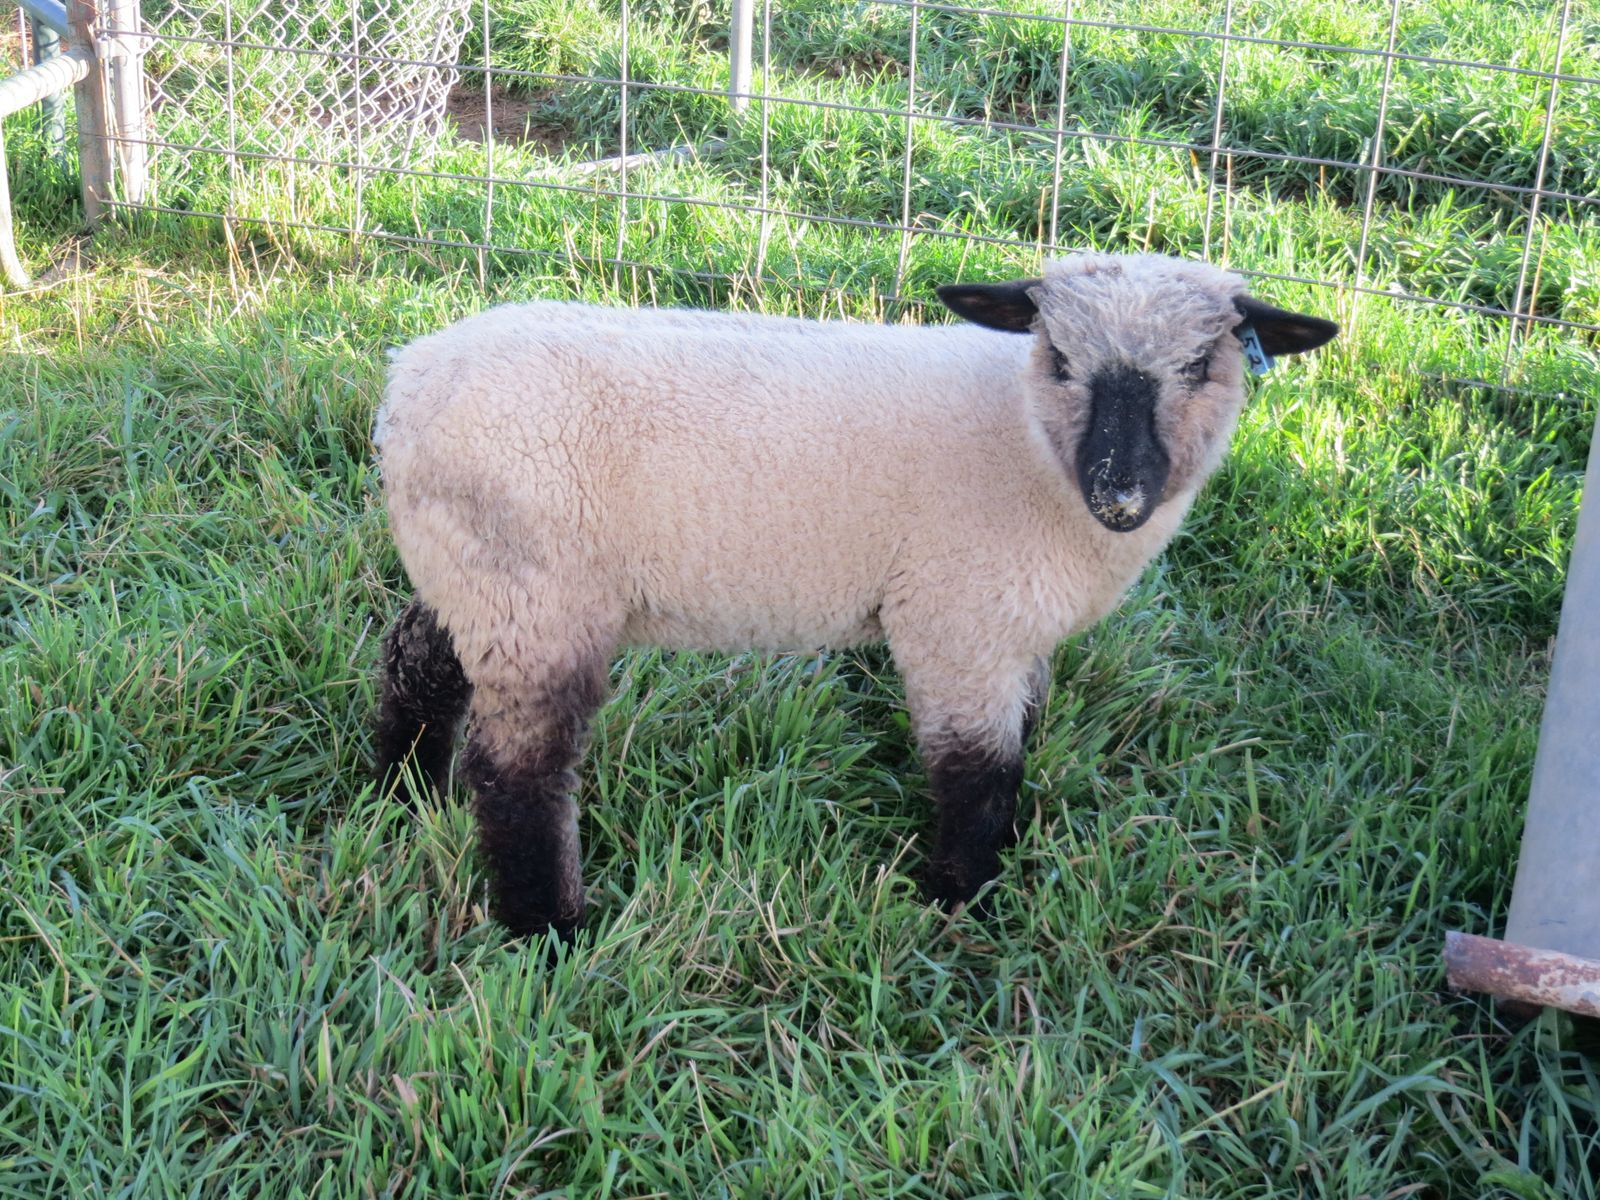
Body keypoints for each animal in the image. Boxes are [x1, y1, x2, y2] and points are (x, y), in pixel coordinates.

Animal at [372, 252, 1338, 941]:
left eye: (1202, 364)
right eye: (1060, 357)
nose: (1121, 494)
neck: (1028, 447)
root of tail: (409, 381)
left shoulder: (1012, 638)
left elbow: (1020, 743)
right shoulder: (958, 625)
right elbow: (980, 776)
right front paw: (958, 903)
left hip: (472, 575)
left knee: (415, 658)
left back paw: (400, 792)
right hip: (539, 596)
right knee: (519, 772)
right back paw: (547, 927)